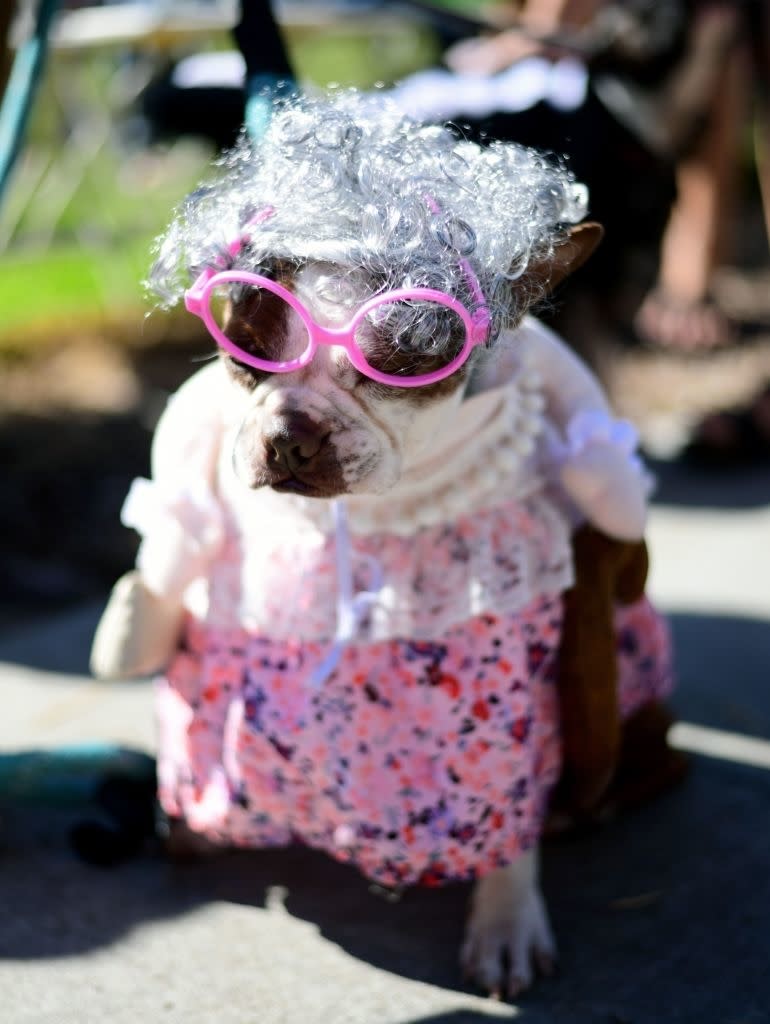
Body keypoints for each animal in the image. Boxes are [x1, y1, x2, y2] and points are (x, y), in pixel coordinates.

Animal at [91, 94, 671, 991]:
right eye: (248, 346)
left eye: (401, 359)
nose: (293, 434)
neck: (371, 513)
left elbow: (507, 810)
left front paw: (505, 922)